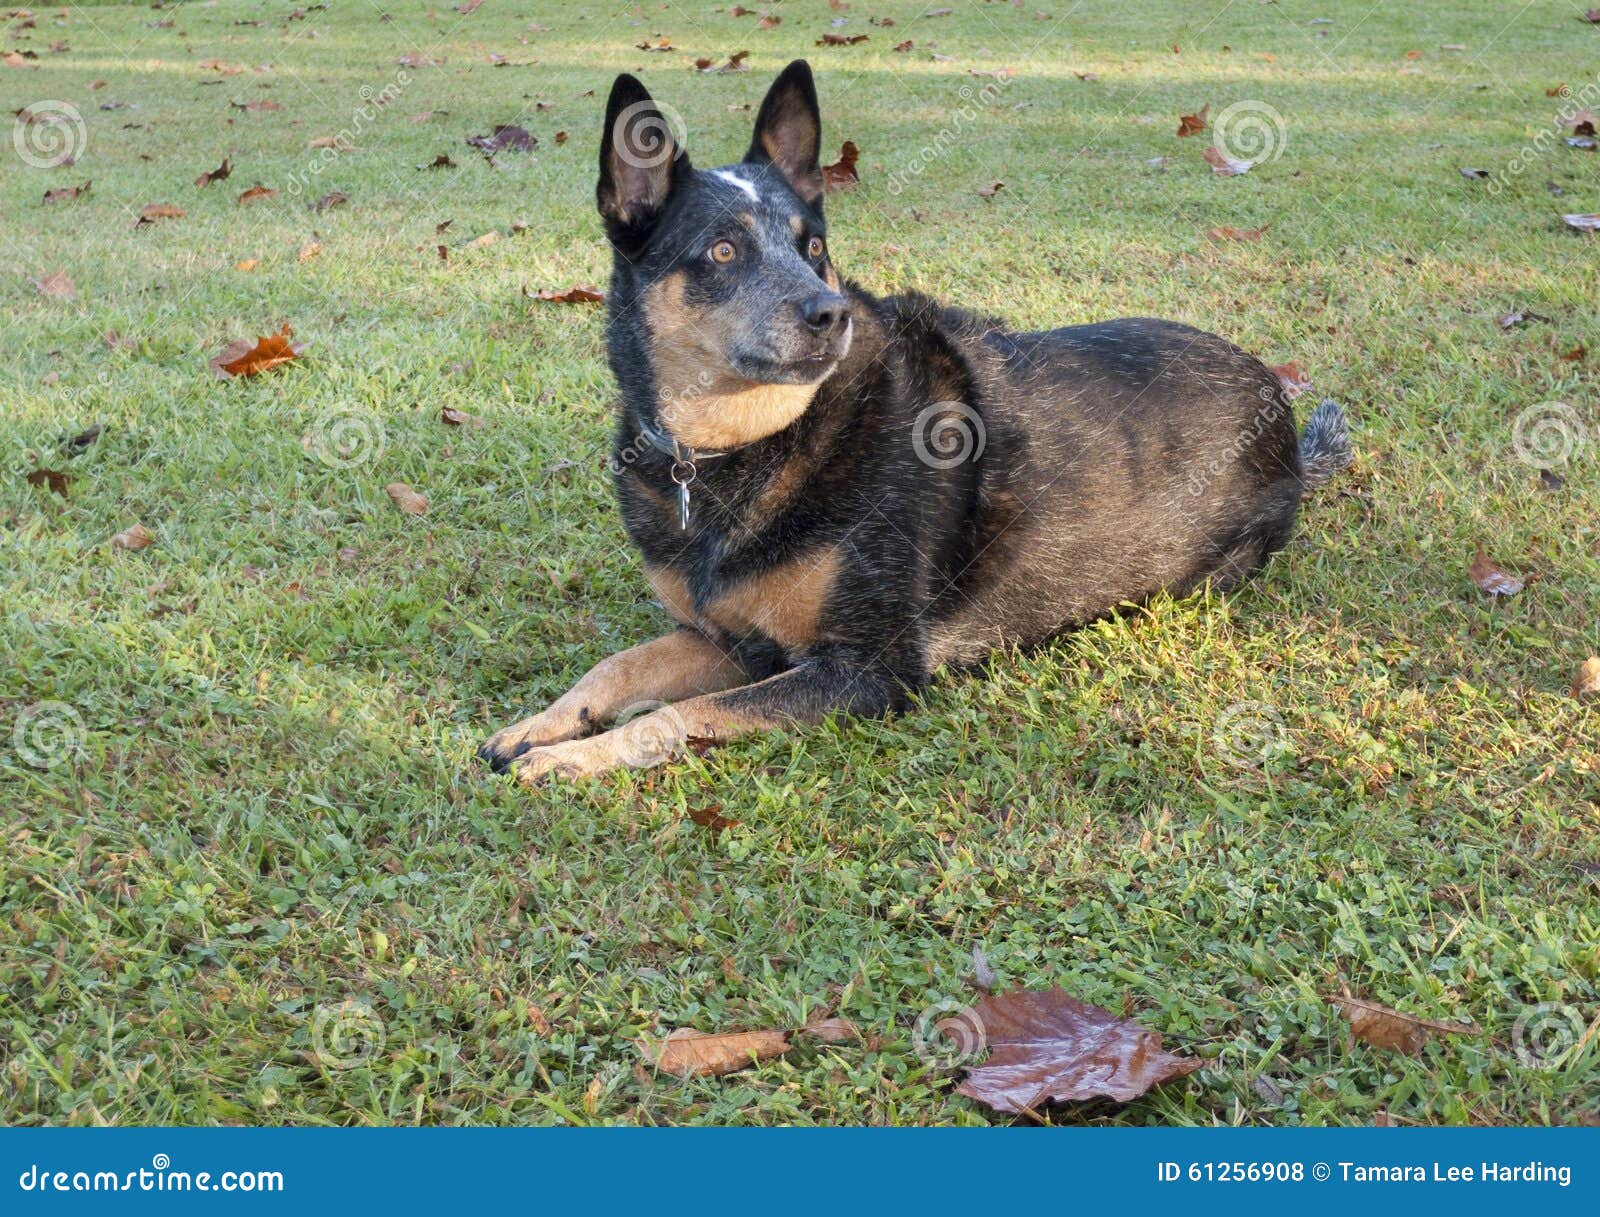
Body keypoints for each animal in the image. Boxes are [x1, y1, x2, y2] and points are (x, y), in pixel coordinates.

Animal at [476, 59, 1350, 777]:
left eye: (814, 246)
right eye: (722, 251)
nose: (828, 314)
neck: (741, 447)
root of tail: (1278, 405)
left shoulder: (869, 669)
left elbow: (679, 714)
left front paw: (577, 757)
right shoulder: (733, 641)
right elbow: (620, 666)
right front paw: (539, 725)